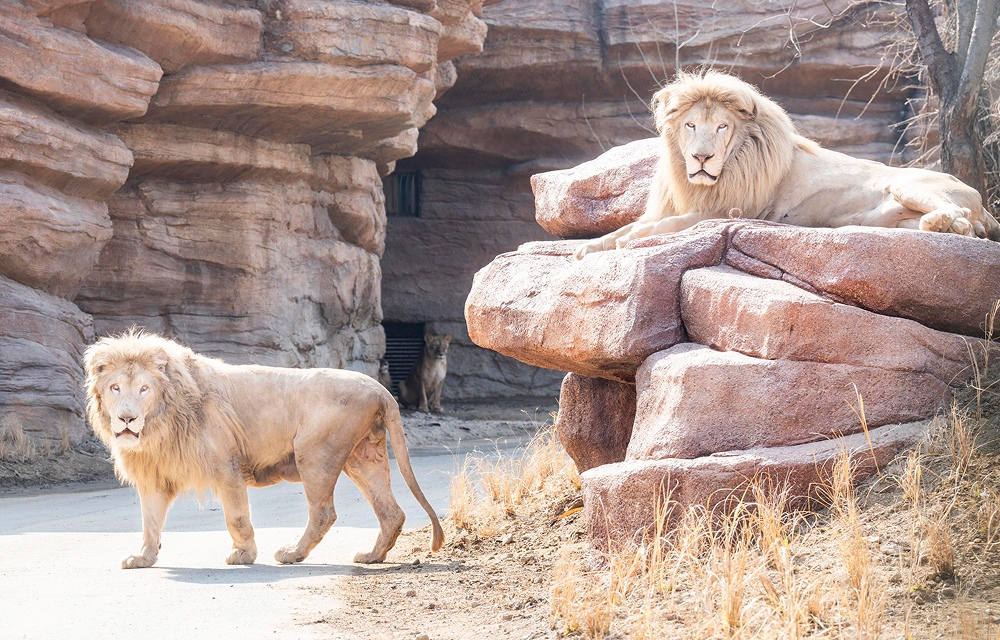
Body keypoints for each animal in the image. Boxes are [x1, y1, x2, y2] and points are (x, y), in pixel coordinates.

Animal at [84, 329, 443, 569]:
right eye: (115, 387)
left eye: (144, 389)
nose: (126, 418)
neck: (161, 424)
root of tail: (380, 388)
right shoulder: (155, 476)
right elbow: (150, 521)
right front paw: (144, 557)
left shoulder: (226, 466)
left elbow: (237, 516)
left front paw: (244, 555)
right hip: (362, 456)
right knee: (391, 512)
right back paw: (371, 556)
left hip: (314, 453)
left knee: (324, 512)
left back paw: (292, 554)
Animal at [574, 71, 1000, 260]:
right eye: (691, 125)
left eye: (722, 126)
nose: (701, 157)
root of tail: (982, 202)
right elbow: (628, 226)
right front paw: (591, 245)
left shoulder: (731, 209)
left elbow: (660, 227)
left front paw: (624, 241)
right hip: (895, 219)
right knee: (961, 227)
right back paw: (937, 227)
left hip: (907, 183)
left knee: (961, 219)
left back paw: (942, 222)